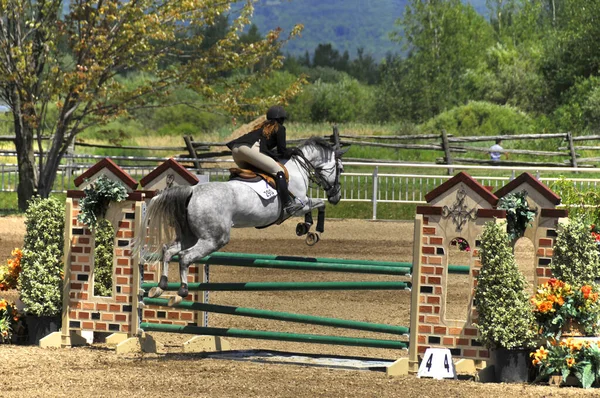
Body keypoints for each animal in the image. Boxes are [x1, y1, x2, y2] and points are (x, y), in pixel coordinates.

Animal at [135, 137, 342, 304]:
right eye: (340, 169)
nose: (336, 197)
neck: (298, 169)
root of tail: (192, 191)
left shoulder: (303, 204)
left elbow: (316, 206)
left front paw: (304, 228)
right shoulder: (300, 204)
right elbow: (319, 204)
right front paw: (313, 230)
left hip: (190, 236)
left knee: (168, 251)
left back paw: (160, 287)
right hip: (214, 239)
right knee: (185, 257)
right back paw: (181, 293)